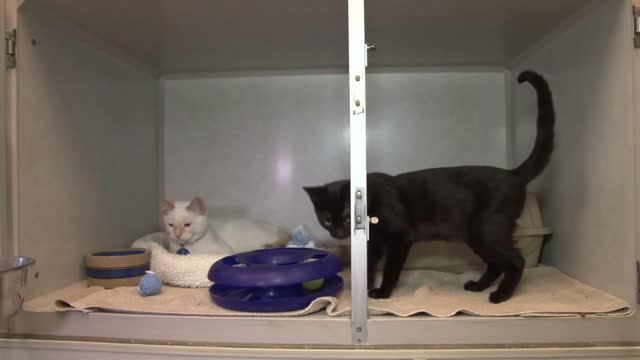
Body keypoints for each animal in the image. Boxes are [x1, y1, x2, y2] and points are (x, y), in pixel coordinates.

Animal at [304, 71, 556, 304]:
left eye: (348, 216)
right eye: (327, 219)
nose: (338, 232)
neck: (372, 200)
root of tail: (512, 174)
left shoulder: (401, 237)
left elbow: (391, 268)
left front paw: (383, 292)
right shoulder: (373, 244)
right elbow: (368, 267)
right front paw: (364, 291)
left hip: (488, 230)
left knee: (516, 260)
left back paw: (501, 295)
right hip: (476, 235)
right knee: (496, 263)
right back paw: (478, 286)